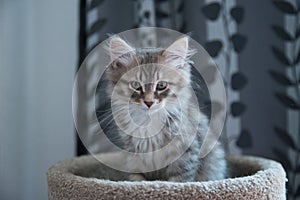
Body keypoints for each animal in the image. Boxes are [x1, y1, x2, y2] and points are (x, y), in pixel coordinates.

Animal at [104, 35, 226, 181]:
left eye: (161, 85)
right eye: (136, 85)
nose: (149, 102)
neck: (149, 124)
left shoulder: (186, 156)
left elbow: (178, 182)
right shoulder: (133, 159)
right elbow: (137, 180)